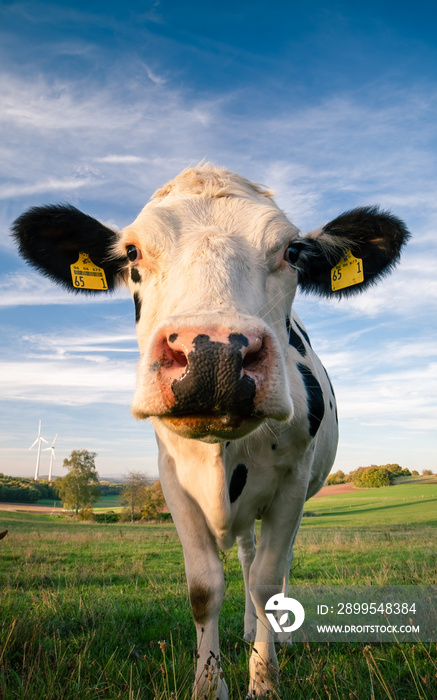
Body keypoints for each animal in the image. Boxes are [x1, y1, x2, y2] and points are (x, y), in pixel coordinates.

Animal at [13, 164, 408, 696]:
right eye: (133, 251)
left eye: (292, 251)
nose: (214, 355)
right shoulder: (173, 480)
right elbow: (205, 587)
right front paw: (209, 684)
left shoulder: (292, 480)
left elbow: (267, 581)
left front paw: (263, 682)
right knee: (245, 554)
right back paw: (246, 630)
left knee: (276, 564)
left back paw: (279, 635)